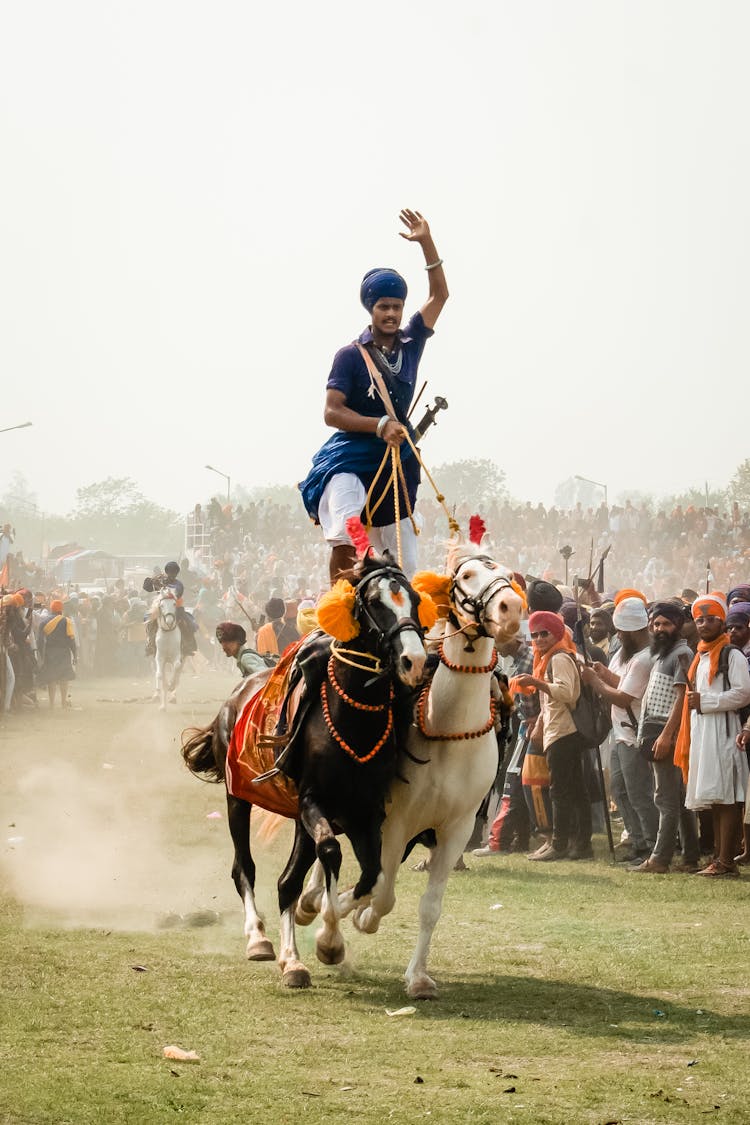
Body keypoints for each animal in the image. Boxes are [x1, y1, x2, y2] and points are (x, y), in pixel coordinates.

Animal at [181, 551, 427, 985]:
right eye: (375, 602)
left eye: (414, 599)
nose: (414, 661)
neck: (353, 721)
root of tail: (234, 697)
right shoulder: (313, 800)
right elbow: (330, 852)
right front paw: (328, 938)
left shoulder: (364, 811)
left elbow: (371, 874)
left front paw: (327, 937)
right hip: (237, 796)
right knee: (244, 868)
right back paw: (259, 938)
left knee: (287, 881)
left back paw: (290, 955)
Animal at [296, 540, 526, 999]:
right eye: (467, 575)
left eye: (509, 575)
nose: (510, 608)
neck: (450, 731)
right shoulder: (393, 821)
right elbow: (381, 892)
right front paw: (342, 921)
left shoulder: (455, 830)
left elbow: (427, 906)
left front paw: (418, 978)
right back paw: (313, 902)